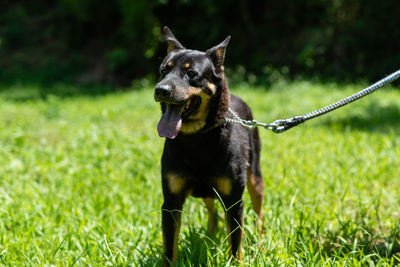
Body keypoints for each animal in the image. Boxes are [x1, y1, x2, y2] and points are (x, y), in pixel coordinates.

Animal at [155, 26, 264, 266]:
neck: (196, 138)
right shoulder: (171, 202)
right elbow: (169, 248)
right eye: (163, 71)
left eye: (191, 74)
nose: (161, 89)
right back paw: (211, 235)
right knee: (212, 210)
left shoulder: (234, 201)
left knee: (259, 213)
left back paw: (261, 241)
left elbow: (235, 244)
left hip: (255, 175)